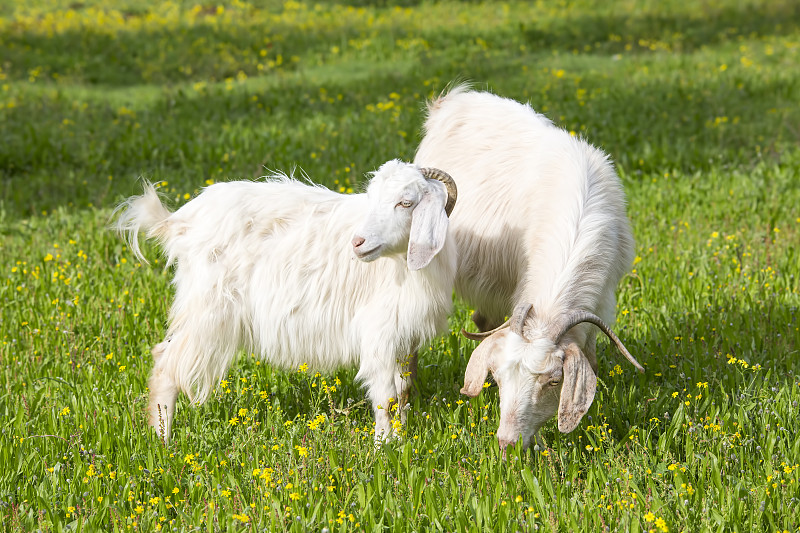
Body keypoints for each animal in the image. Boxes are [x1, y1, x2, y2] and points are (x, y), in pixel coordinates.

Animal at [115, 159, 460, 440]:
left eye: (406, 202)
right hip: (208, 312)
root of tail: (179, 223)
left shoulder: (404, 335)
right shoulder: (380, 331)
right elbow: (386, 397)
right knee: (165, 364)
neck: (403, 264)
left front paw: (401, 440)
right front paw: (382, 447)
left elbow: (403, 391)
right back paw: (163, 440)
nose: (358, 242)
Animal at [412, 86, 644, 448]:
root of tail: (449, 100)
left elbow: (591, 357)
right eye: (499, 376)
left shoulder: (603, 299)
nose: (508, 443)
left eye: (554, 381)